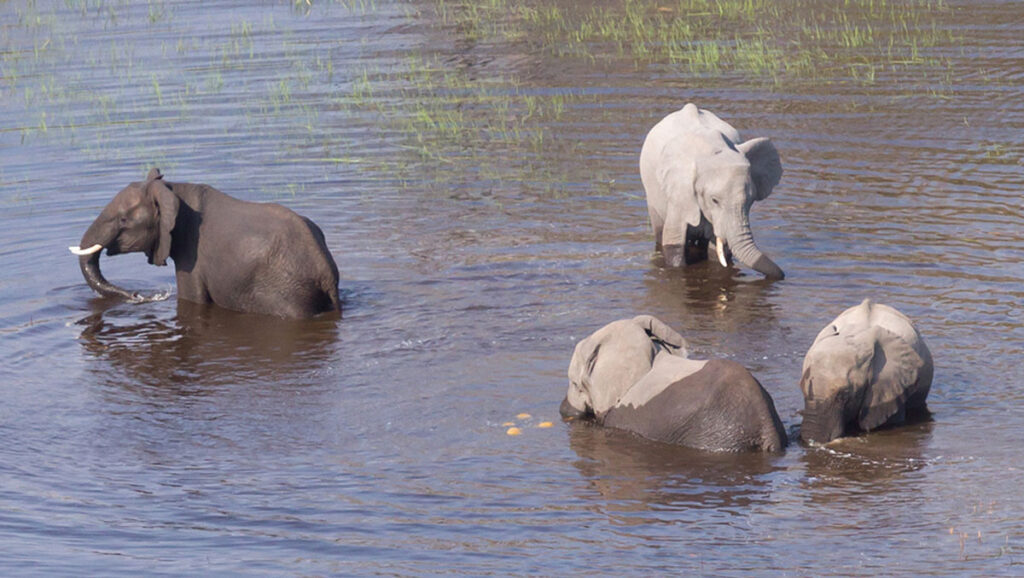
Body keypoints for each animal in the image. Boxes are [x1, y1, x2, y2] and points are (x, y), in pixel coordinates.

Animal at [638, 104, 782, 280]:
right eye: (714, 200)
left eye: (751, 201)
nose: (782, 274)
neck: (712, 151)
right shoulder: (680, 192)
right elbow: (674, 243)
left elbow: (717, 251)